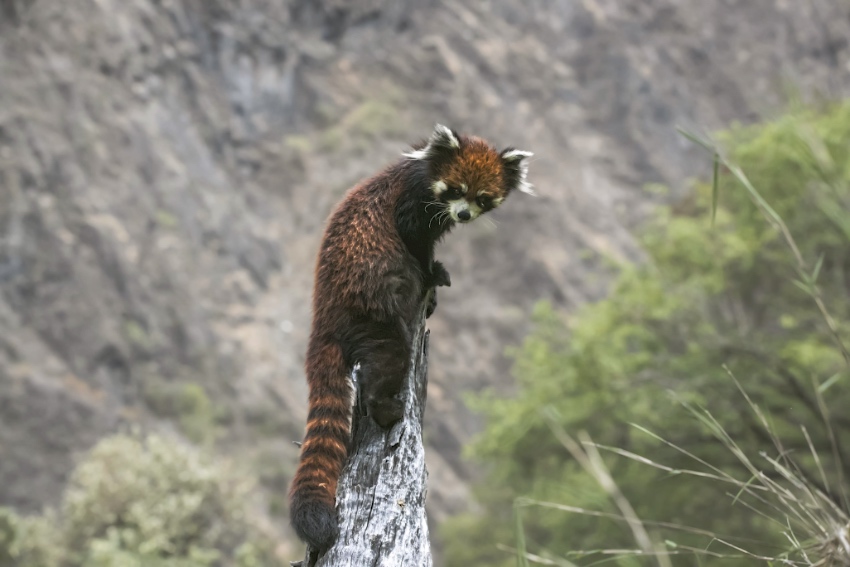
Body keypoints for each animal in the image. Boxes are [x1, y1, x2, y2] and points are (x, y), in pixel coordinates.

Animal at [288, 125, 532, 556]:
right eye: (456, 189)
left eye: (482, 197)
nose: (463, 215)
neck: (422, 171)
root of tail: (324, 316)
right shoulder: (411, 206)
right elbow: (415, 242)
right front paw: (433, 271)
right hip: (371, 314)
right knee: (390, 356)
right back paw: (387, 408)